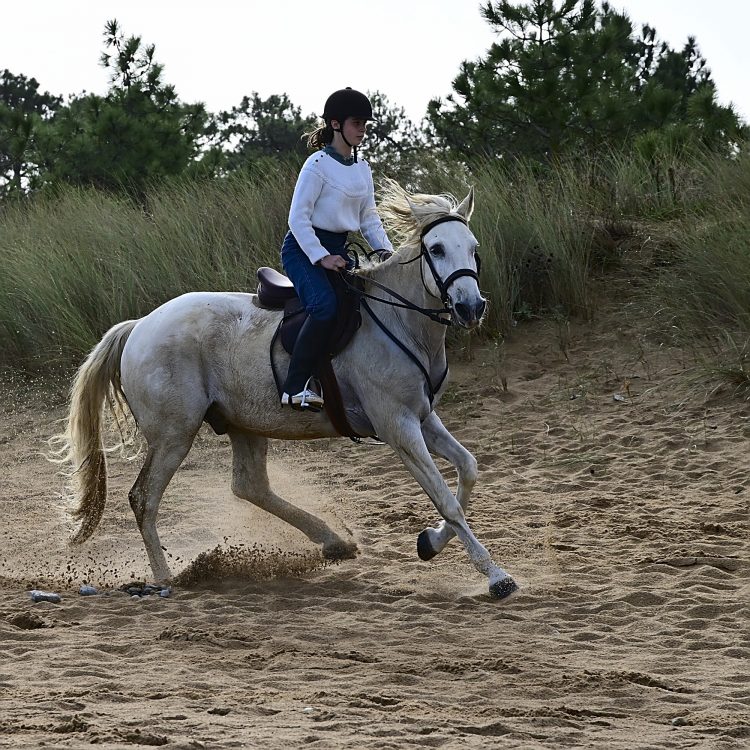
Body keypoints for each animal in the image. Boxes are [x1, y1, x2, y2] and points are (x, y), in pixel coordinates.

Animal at [52, 180, 518, 600]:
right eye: (436, 250)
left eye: (473, 248)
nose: (471, 307)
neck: (399, 321)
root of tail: (139, 327)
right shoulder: (398, 426)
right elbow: (445, 498)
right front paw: (495, 576)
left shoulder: (422, 418)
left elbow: (469, 468)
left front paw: (430, 543)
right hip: (174, 435)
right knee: (144, 498)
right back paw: (167, 577)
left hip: (242, 423)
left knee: (249, 486)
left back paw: (334, 542)